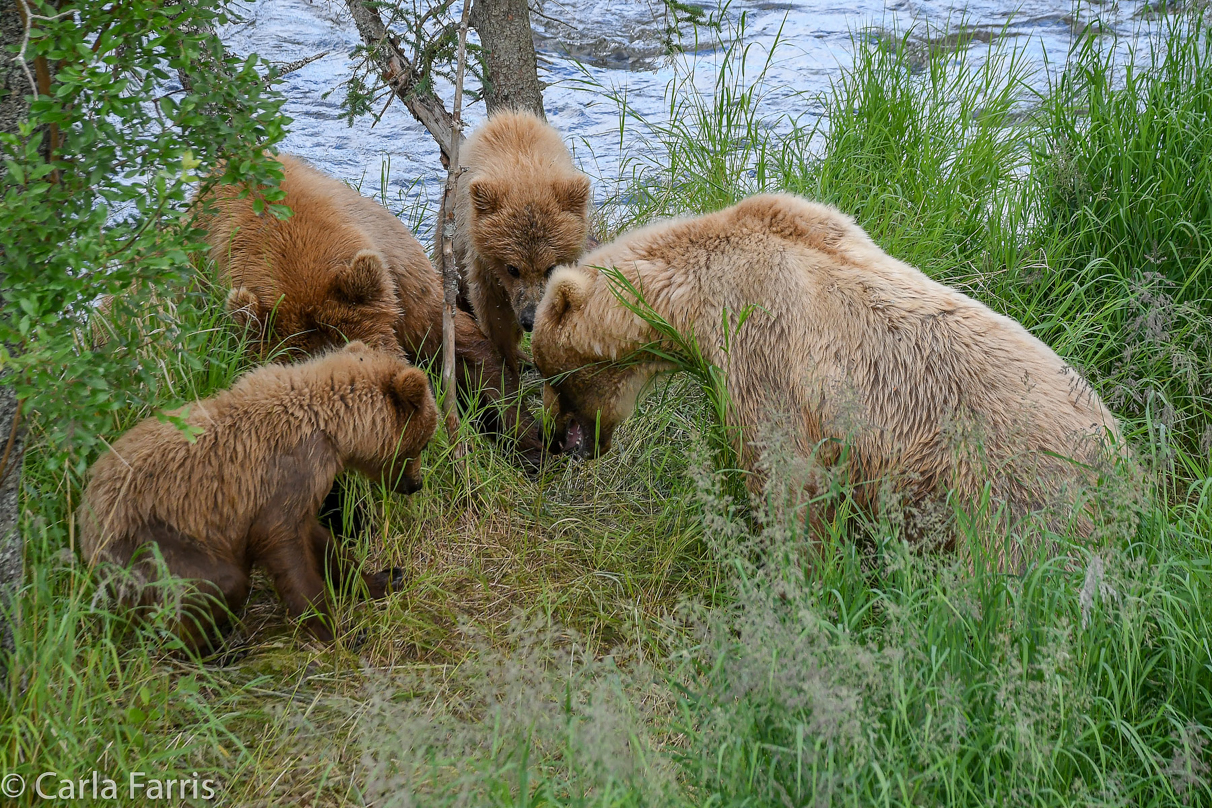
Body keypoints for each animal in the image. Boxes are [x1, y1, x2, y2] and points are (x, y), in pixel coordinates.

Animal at [76, 344, 436, 649]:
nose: (416, 484)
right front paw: (337, 631)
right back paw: (212, 650)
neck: (331, 426)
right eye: (422, 442)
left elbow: (321, 542)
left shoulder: (301, 490)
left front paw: (385, 578)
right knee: (217, 583)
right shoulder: (283, 476)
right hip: (152, 539)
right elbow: (284, 549)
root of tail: (84, 516)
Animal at [455, 109, 591, 380]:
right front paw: (508, 367)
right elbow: (493, 316)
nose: (529, 319)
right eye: (512, 268)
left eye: (550, 267)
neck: (525, 172)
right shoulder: (483, 265)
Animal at [535, 196, 1129, 562]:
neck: (689, 298)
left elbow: (783, 477)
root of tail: (1128, 458)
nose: (559, 443)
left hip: (1011, 492)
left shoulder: (759, 352)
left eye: (548, 373)